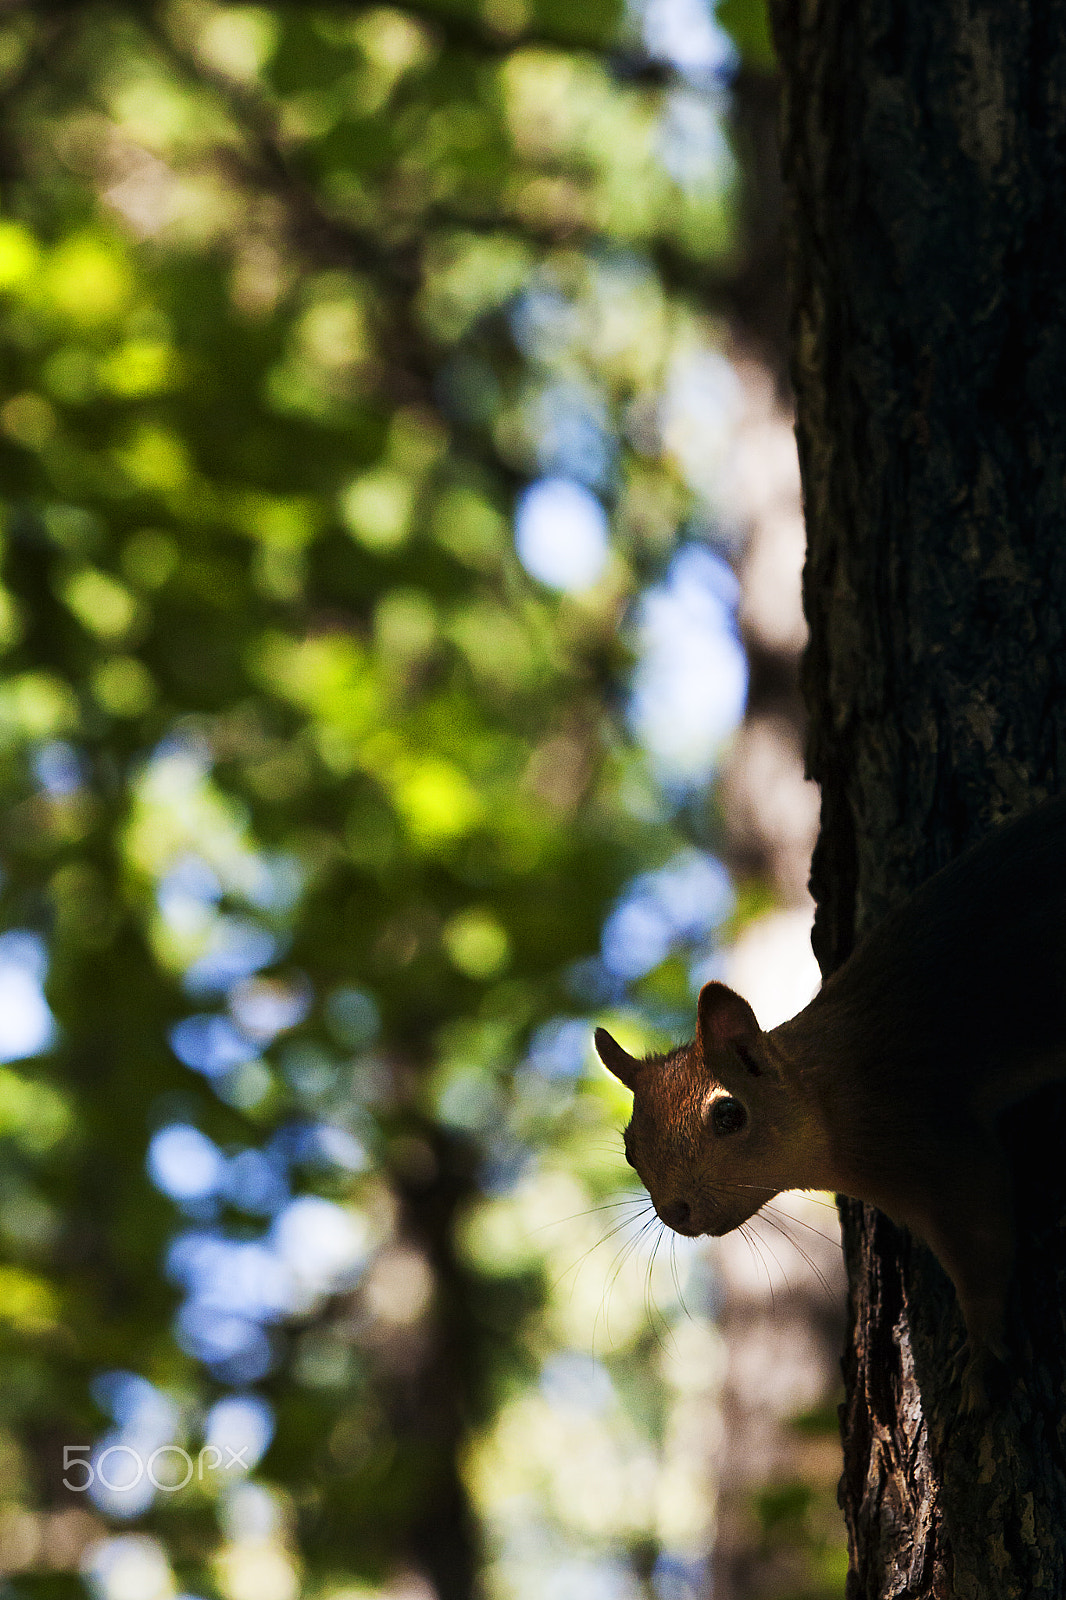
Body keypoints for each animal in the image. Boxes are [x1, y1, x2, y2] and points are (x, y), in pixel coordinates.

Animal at [595, 792, 1066, 1404]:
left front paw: (982, 1353)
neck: (831, 1096)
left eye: (729, 1114)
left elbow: (984, 1238)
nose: (674, 1211)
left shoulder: (936, 1142)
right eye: (630, 1149)